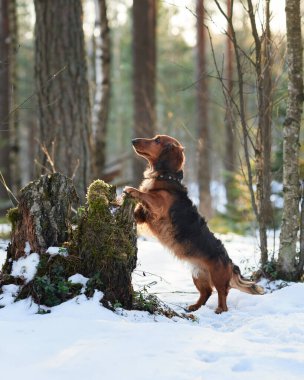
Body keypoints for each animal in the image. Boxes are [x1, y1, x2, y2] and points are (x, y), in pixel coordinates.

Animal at [124, 135, 264, 314]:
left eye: (157, 141)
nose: (133, 140)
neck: (166, 178)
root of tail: (230, 262)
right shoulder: (144, 216)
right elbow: (139, 209)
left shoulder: (159, 205)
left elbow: (147, 195)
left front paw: (132, 190)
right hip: (198, 275)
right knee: (207, 292)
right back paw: (195, 307)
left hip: (217, 276)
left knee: (222, 293)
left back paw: (219, 309)